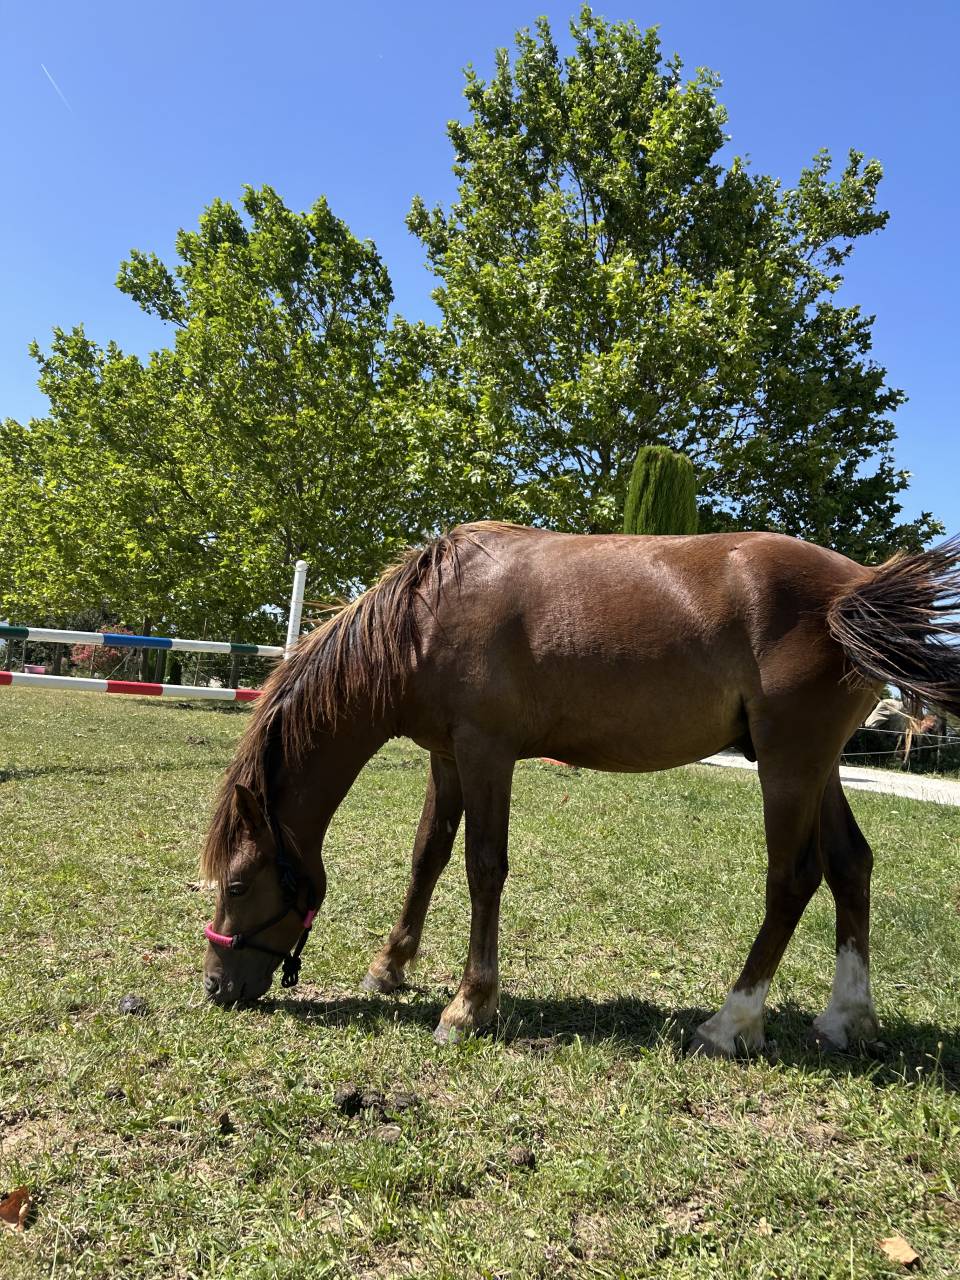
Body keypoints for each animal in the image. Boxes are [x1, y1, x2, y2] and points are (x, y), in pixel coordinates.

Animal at [201, 523, 960, 1057]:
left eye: (237, 884)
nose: (215, 986)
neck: (426, 617)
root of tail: (857, 586)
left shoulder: (486, 752)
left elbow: (483, 867)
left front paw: (468, 1006)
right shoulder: (446, 758)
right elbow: (428, 857)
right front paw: (389, 968)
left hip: (788, 764)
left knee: (793, 878)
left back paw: (730, 1022)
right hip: (818, 767)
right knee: (850, 864)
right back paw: (847, 1018)